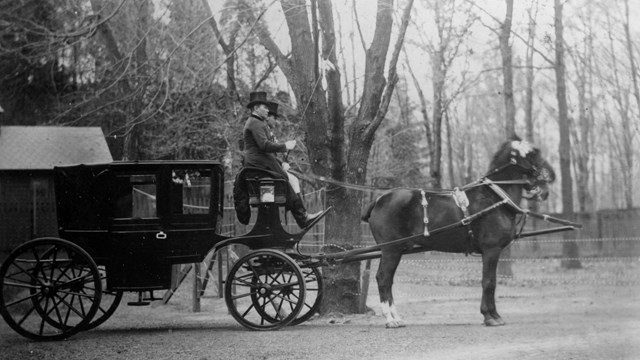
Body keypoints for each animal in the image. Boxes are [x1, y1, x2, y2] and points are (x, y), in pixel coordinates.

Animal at [364, 139, 556, 330]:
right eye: (533, 153)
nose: (551, 176)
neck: (494, 198)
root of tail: (379, 199)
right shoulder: (491, 250)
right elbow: (489, 282)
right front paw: (490, 316)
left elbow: (490, 281)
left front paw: (493, 314)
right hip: (391, 250)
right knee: (383, 278)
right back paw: (390, 319)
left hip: (395, 250)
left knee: (388, 280)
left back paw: (396, 317)